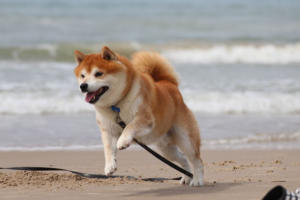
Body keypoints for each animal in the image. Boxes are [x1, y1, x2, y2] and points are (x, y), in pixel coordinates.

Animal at [73, 46, 204, 186]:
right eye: (82, 75)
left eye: (98, 73)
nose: (83, 86)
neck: (116, 105)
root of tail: (170, 84)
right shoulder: (108, 130)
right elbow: (108, 149)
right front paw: (109, 166)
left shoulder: (145, 119)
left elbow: (129, 126)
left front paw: (123, 141)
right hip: (165, 149)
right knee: (183, 159)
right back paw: (186, 177)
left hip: (186, 139)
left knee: (197, 160)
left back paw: (197, 180)